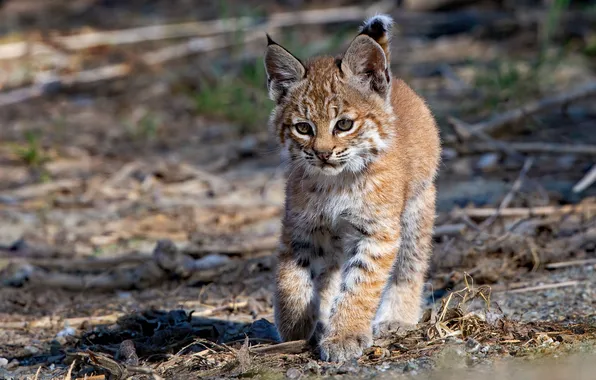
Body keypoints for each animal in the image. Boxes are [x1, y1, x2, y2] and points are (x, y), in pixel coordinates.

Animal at [264, 13, 440, 360]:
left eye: (344, 125)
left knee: (410, 265)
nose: (322, 153)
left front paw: (344, 335)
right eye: (303, 128)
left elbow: (360, 286)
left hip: (417, 206)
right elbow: (290, 277)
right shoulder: (300, 227)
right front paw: (295, 324)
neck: (337, 182)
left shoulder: (377, 233)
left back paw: (398, 317)